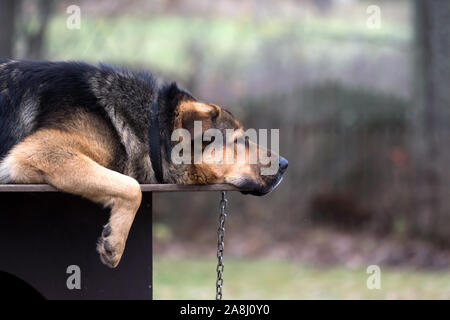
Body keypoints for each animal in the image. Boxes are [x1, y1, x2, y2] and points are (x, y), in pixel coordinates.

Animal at [0, 60, 288, 268]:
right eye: (240, 140)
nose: (285, 164)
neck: (151, 129)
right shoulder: (41, 152)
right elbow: (132, 187)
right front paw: (116, 241)